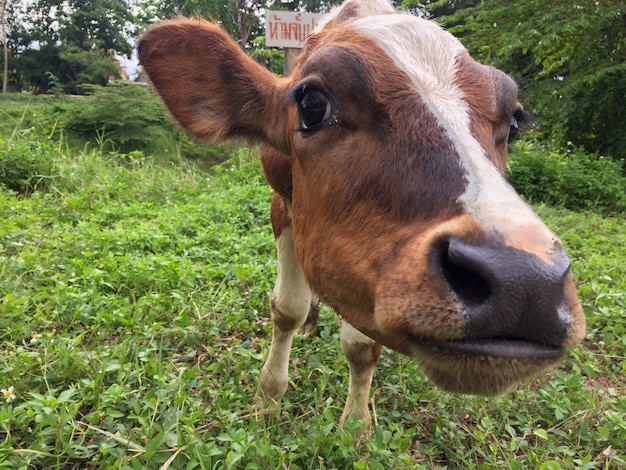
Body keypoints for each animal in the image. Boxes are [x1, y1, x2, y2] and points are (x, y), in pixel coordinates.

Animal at [138, 0, 584, 426]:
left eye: (514, 123)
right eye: (312, 102)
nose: (526, 280)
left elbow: (361, 345)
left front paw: (355, 424)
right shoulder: (282, 206)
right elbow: (287, 308)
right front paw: (269, 394)